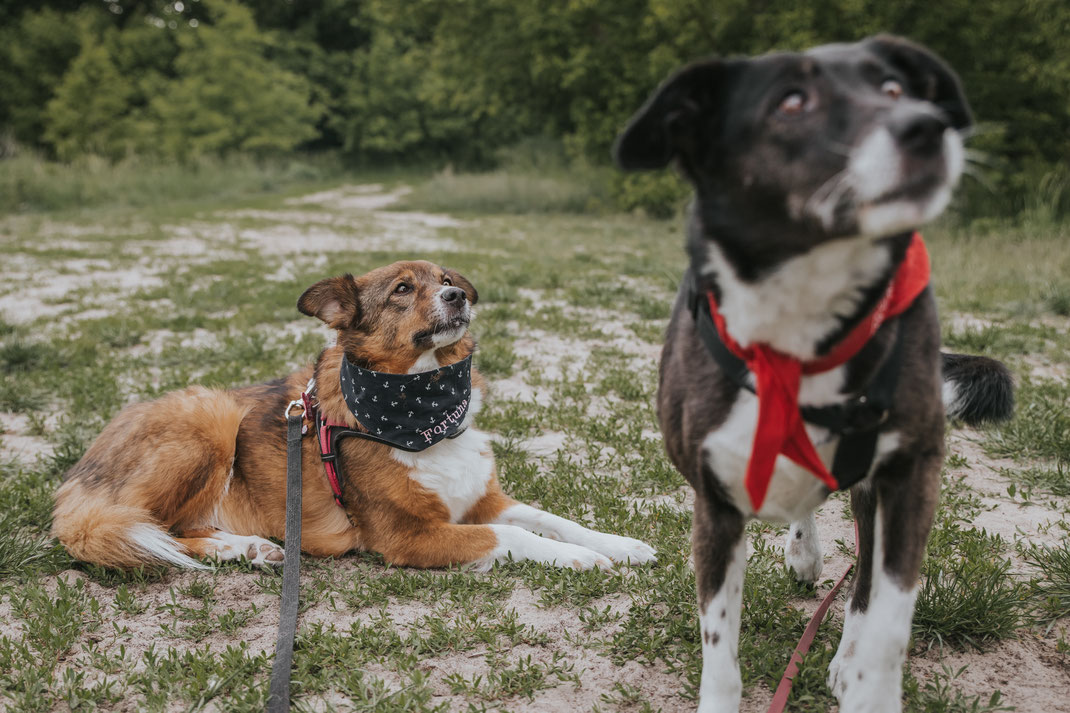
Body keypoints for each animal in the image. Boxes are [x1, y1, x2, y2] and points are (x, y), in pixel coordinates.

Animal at [54, 261, 654, 573]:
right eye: (403, 289)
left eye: (445, 277)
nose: (457, 296)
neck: (421, 413)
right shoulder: (408, 537)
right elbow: (515, 537)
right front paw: (582, 558)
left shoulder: (483, 499)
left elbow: (550, 518)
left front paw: (619, 545)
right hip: (210, 418)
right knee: (156, 530)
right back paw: (237, 546)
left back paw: (245, 546)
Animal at [616, 34, 1014, 710]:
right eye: (792, 101)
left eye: (893, 88)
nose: (927, 125)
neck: (802, 325)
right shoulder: (714, 500)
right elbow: (719, 651)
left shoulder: (910, 471)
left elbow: (885, 618)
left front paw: (862, 677)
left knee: (863, 574)